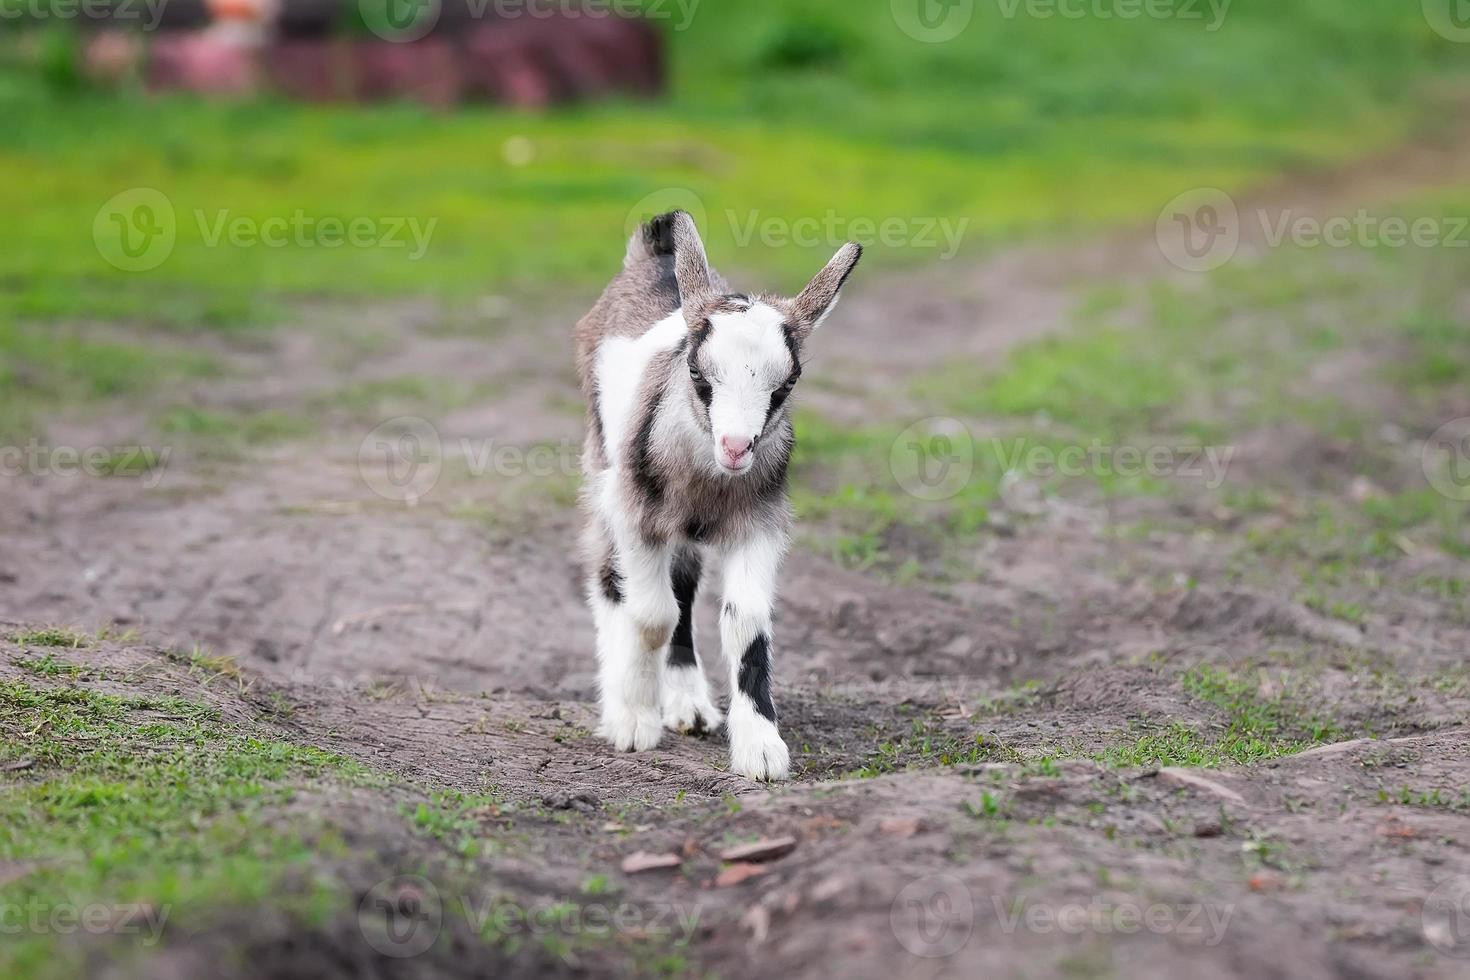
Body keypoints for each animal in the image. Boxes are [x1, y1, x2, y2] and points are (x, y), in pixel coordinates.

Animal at [573, 208, 858, 781]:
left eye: (786, 384)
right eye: (697, 373)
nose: (735, 447)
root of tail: (656, 251)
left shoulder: (759, 523)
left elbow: (745, 622)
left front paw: (761, 749)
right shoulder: (637, 516)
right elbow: (651, 616)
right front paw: (635, 719)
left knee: (684, 585)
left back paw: (689, 705)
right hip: (601, 469)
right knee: (611, 578)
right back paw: (622, 700)